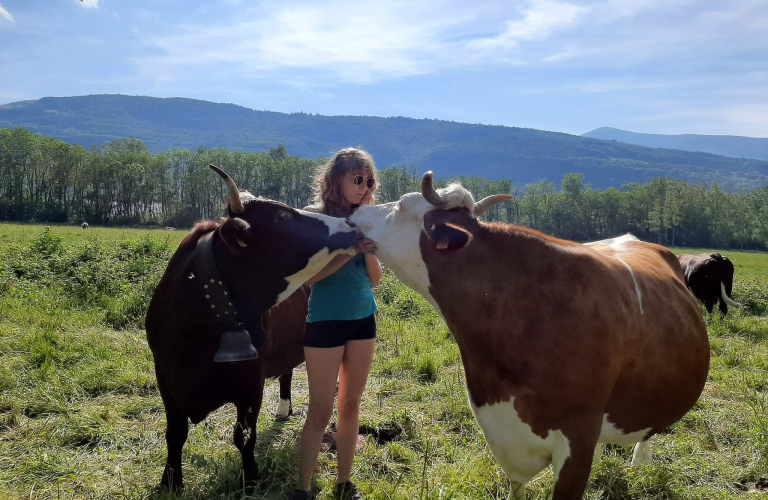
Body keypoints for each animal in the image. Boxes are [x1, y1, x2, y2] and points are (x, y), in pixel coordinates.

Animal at [146, 166, 356, 490]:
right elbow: (175, 434)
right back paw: (284, 409)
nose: (349, 223)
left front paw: (251, 479)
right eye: (281, 217)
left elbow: (244, 436)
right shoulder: (165, 377)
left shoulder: (251, 381)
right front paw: (170, 481)